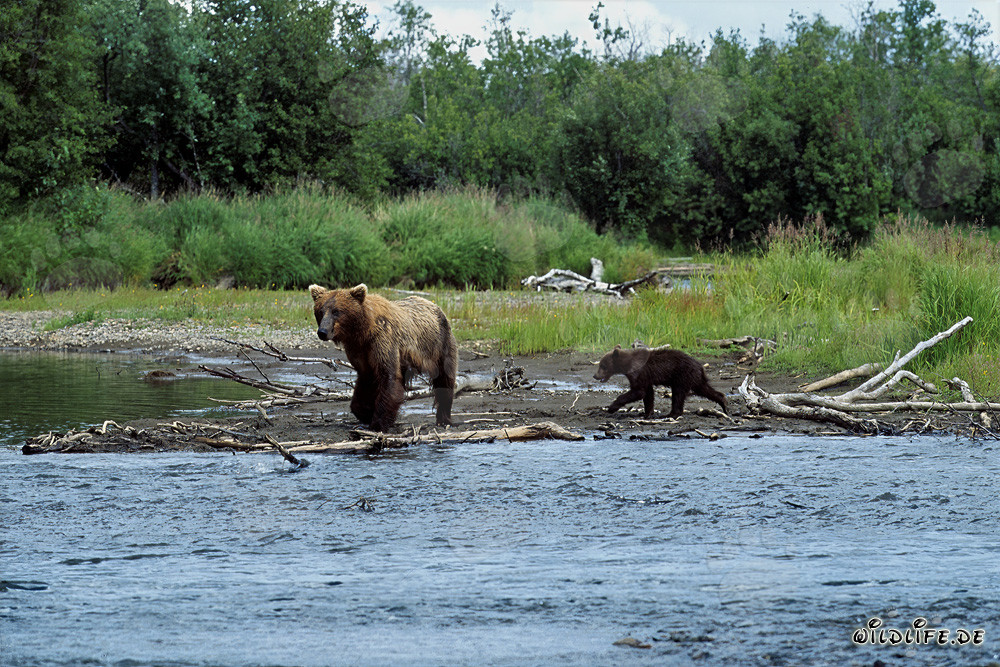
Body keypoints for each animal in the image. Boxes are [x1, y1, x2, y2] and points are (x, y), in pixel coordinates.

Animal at [309, 283, 458, 432]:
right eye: (321, 311)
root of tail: (434, 305)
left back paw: (444, 419)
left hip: (440, 345)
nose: (322, 332)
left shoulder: (383, 341)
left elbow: (388, 377)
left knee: (445, 380)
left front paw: (378, 423)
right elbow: (366, 379)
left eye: (336, 311)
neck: (363, 331)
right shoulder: (360, 350)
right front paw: (364, 412)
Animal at [593, 344, 728, 418]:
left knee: (678, 394)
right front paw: (647, 413)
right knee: (705, 389)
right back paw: (724, 403)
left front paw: (612, 407)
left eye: (602, 366)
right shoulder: (645, 378)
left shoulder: (639, 373)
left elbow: (638, 391)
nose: (595, 375)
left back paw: (671, 414)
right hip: (694, 378)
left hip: (682, 376)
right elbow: (648, 394)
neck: (627, 365)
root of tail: (700, 366)